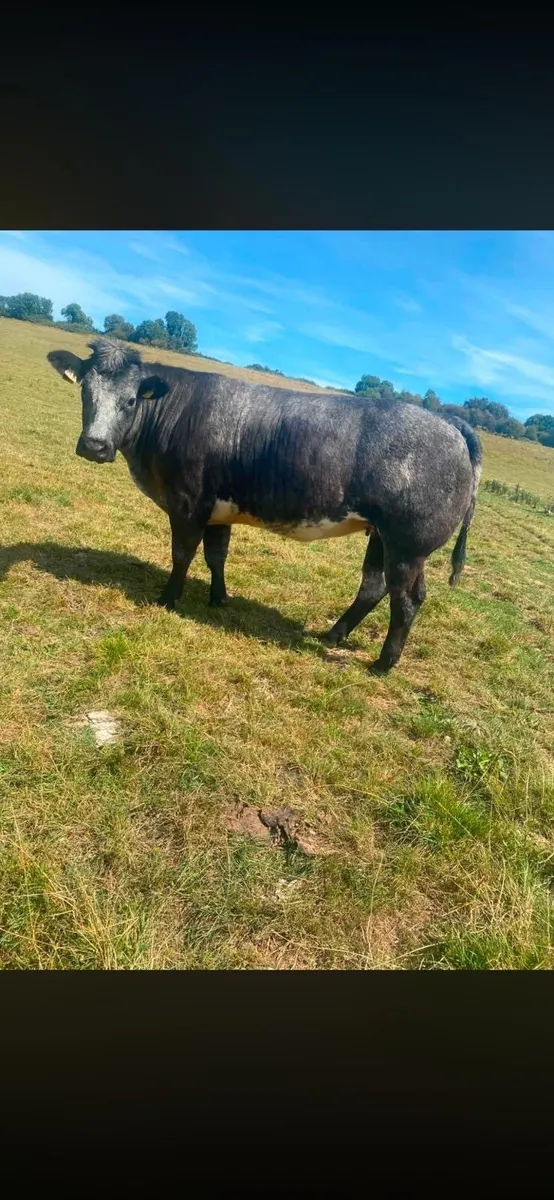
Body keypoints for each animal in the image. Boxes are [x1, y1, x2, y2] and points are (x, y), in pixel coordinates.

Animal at [47, 339, 481, 672]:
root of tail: (448, 421)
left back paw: (382, 664)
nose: (94, 446)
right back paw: (333, 634)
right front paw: (219, 598)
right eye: (85, 391)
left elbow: (182, 554)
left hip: (407, 545)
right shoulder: (218, 510)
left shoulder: (188, 504)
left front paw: (168, 599)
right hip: (383, 537)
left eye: (131, 400)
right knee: (374, 587)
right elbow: (216, 555)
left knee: (405, 599)